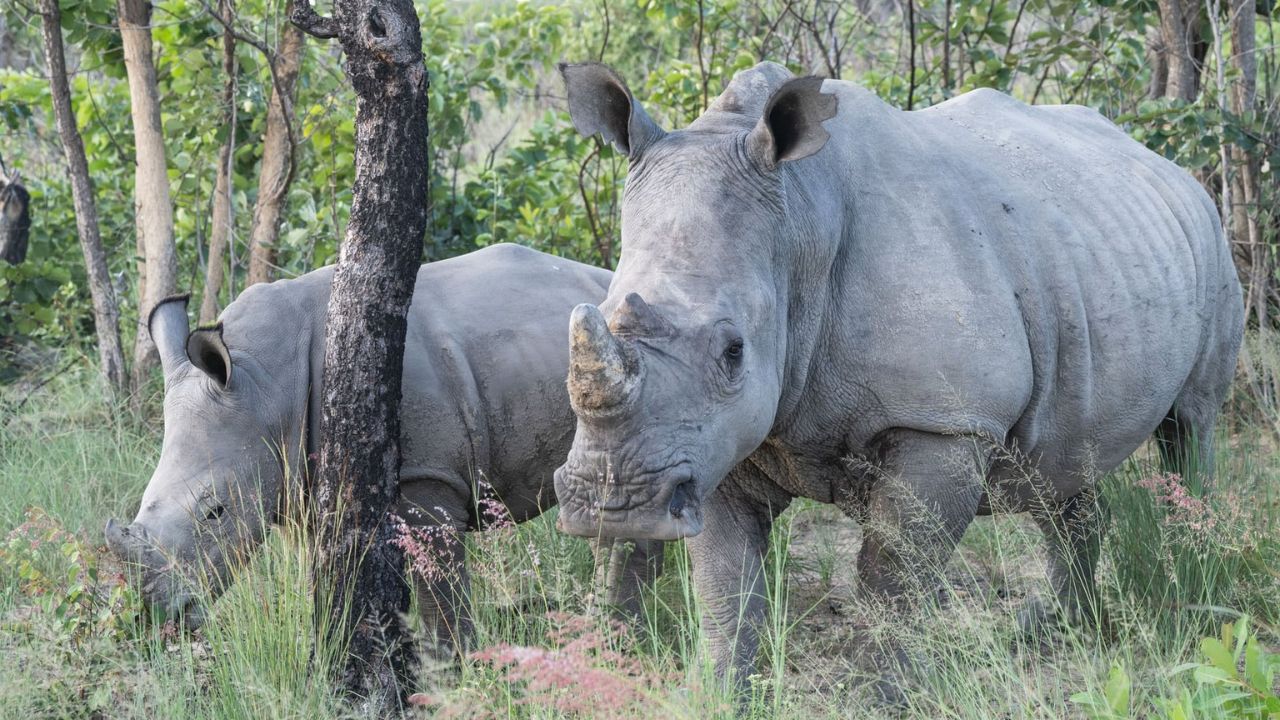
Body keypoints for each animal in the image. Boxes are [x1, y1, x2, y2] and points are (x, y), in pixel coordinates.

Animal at [105, 243, 662, 644]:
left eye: (215, 512)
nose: (159, 615)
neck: (267, 381)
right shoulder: (303, 486)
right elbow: (330, 581)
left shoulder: (428, 478)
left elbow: (438, 588)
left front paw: (453, 668)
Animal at [553, 62, 1244, 696]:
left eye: (733, 351)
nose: (614, 506)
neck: (800, 222)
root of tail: (1165, 164)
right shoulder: (712, 439)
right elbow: (724, 578)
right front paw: (719, 692)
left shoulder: (943, 421)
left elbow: (893, 572)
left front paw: (881, 694)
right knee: (1068, 461)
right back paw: (1055, 628)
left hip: (1210, 238)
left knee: (1191, 425)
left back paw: (1196, 584)